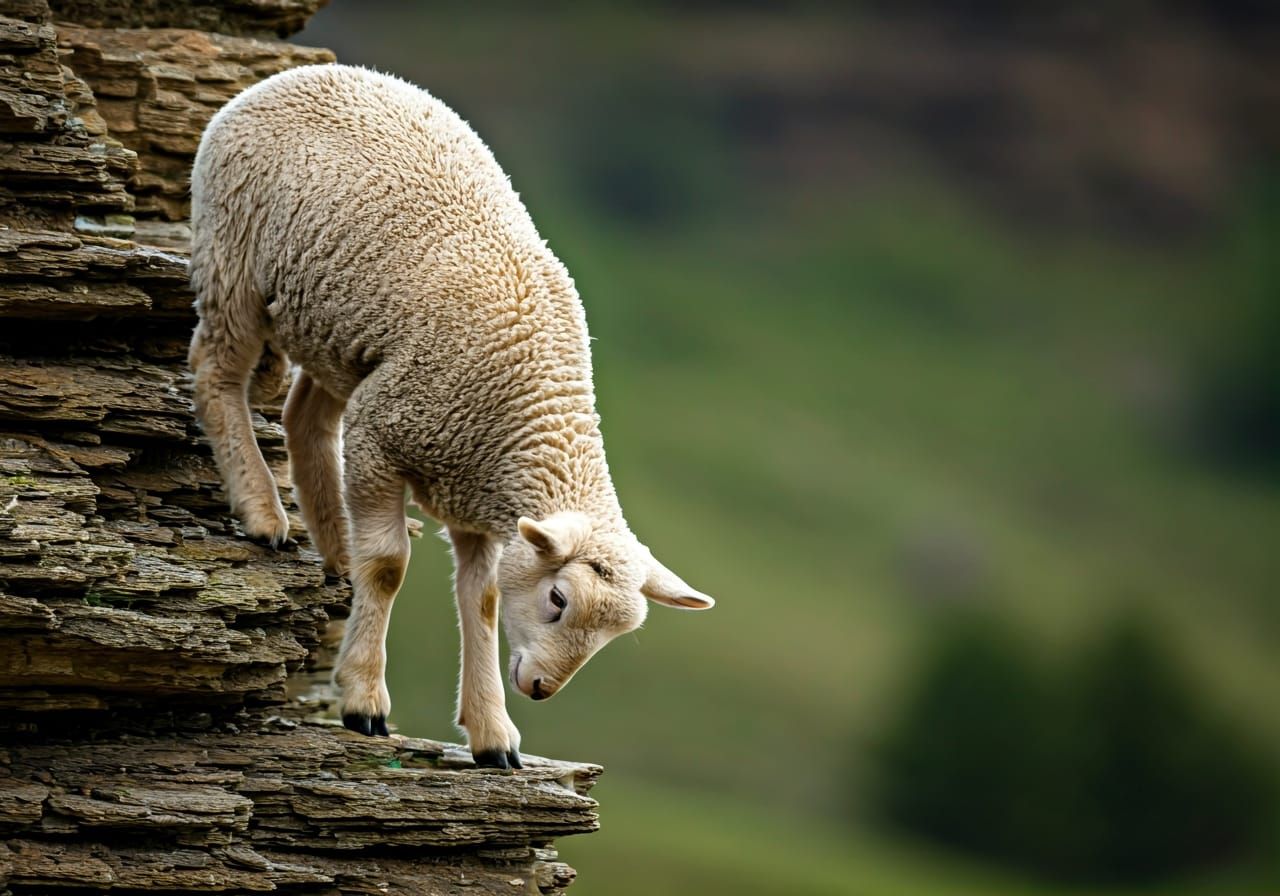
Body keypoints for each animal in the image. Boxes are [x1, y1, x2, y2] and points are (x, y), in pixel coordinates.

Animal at [187, 64, 714, 768]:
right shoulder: (384, 438)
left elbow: (482, 601)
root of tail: (306, 71)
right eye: (558, 599)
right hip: (236, 257)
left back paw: (336, 547)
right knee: (215, 371)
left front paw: (493, 733)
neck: (529, 415)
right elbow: (388, 566)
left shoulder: (476, 501)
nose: (541, 688)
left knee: (306, 418)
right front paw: (364, 699)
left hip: (342, 337)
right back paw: (262, 511)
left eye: (610, 636)